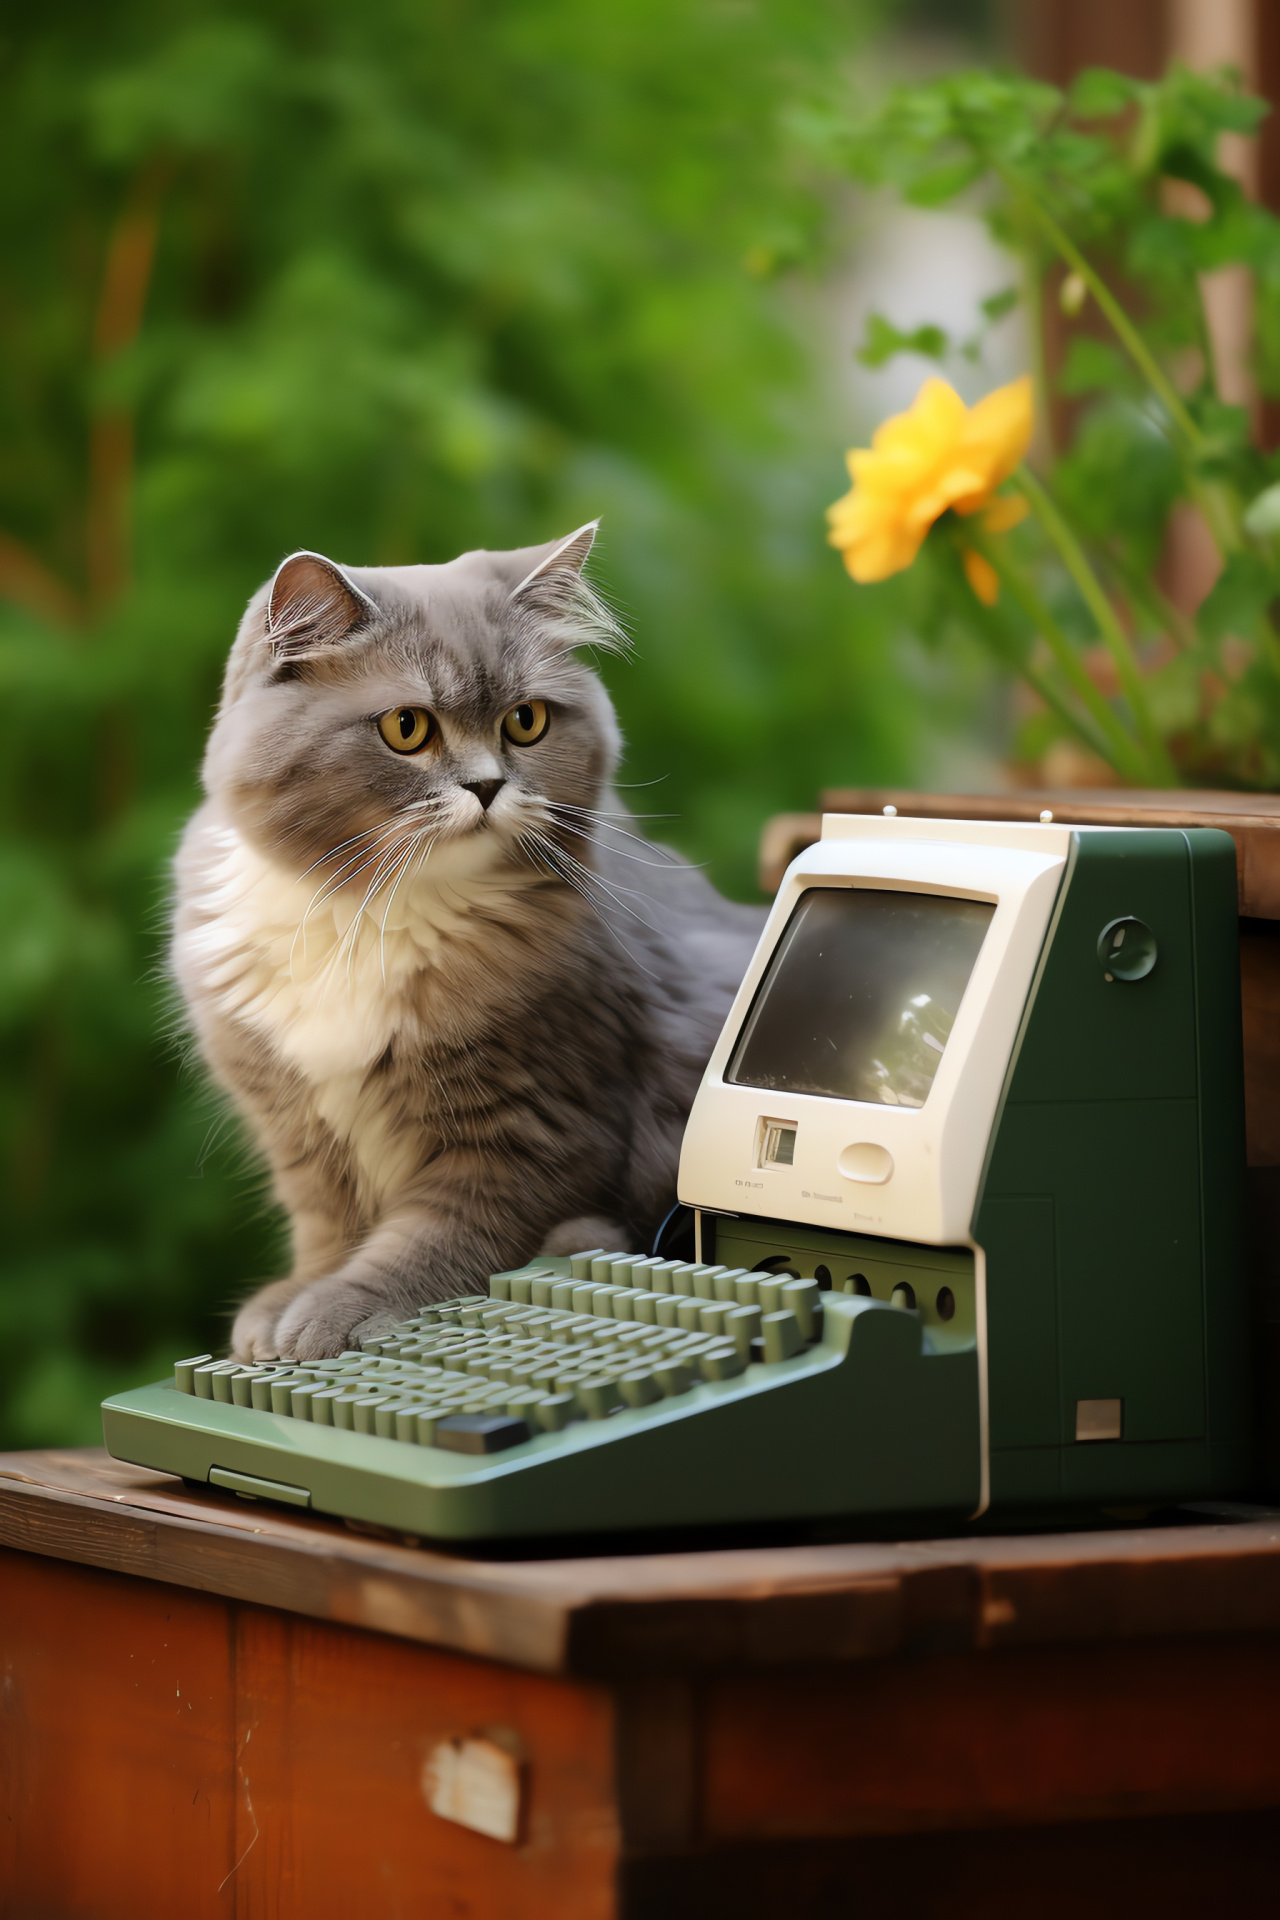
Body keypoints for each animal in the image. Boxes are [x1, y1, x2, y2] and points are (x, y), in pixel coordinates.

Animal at [173, 526, 767, 1367]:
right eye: (407, 728)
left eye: (525, 721)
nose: (487, 787)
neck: (370, 913)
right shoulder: (302, 1132)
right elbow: (330, 1228)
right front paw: (292, 1302)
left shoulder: (533, 1131)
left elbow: (430, 1242)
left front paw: (339, 1309)